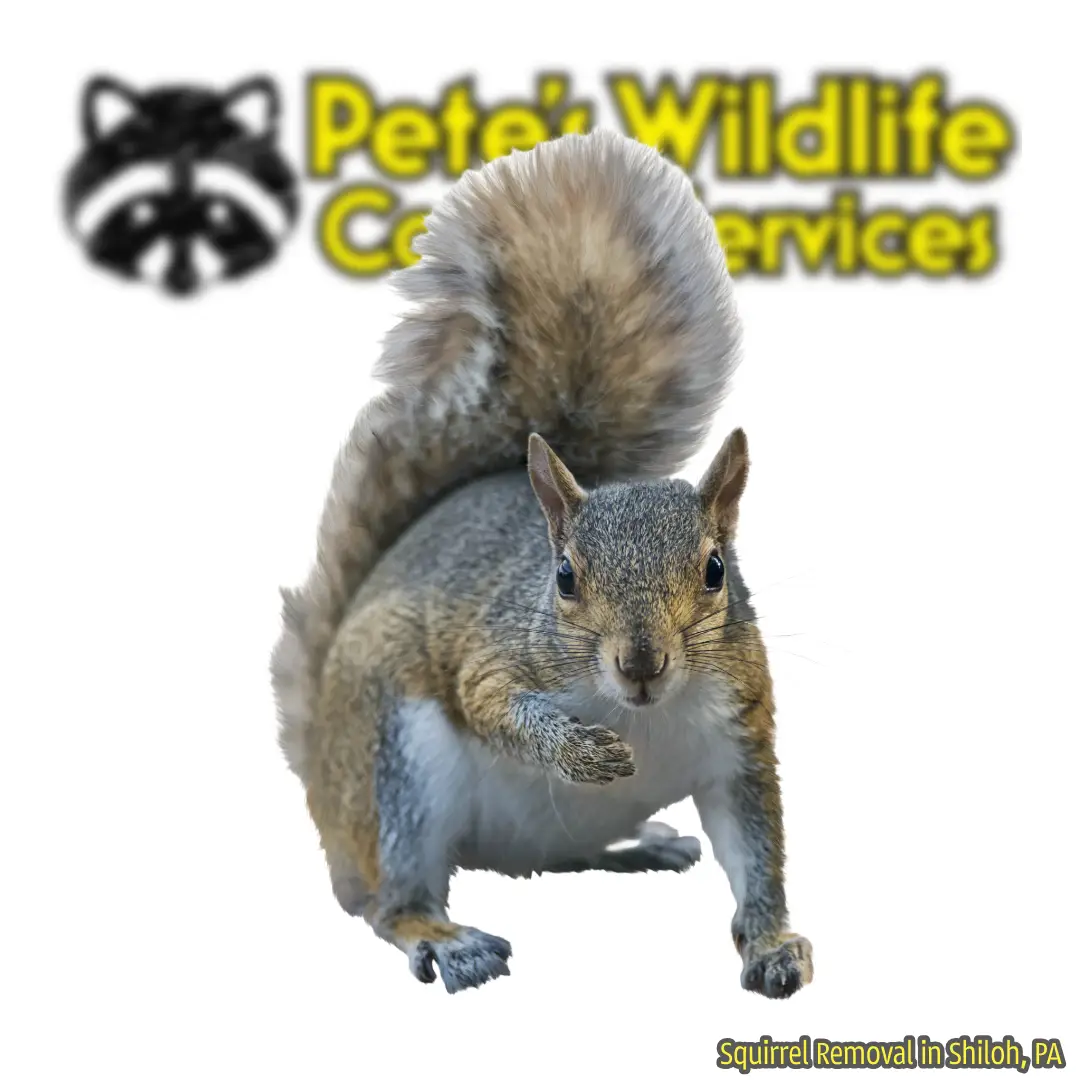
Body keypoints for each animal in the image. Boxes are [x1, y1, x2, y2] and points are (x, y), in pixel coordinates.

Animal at [272, 128, 813, 997]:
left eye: (716, 570)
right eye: (563, 577)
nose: (641, 665)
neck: (643, 713)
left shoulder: (740, 736)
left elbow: (759, 854)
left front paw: (771, 944)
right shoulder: (494, 652)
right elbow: (490, 701)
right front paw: (579, 749)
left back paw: (643, 845)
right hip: (395, 767)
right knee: (391, 905)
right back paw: (446, 938)